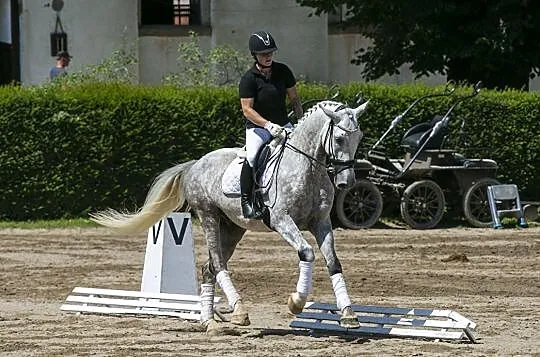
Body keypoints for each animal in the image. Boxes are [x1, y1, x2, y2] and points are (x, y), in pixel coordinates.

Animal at [93, 99, 370, 334]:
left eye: (359, 137)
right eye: (339, 138)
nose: (346, 182)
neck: (308, 167)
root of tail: (195, 164)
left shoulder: (320, 223)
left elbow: (333, 262)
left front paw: (348, 314)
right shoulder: (281, 221)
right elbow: (307, 252)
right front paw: (296, 302)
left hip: (233, 227)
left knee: (209, 268)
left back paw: (210, 323)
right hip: (208, 215)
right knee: (217, 264)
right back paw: (239, 311)